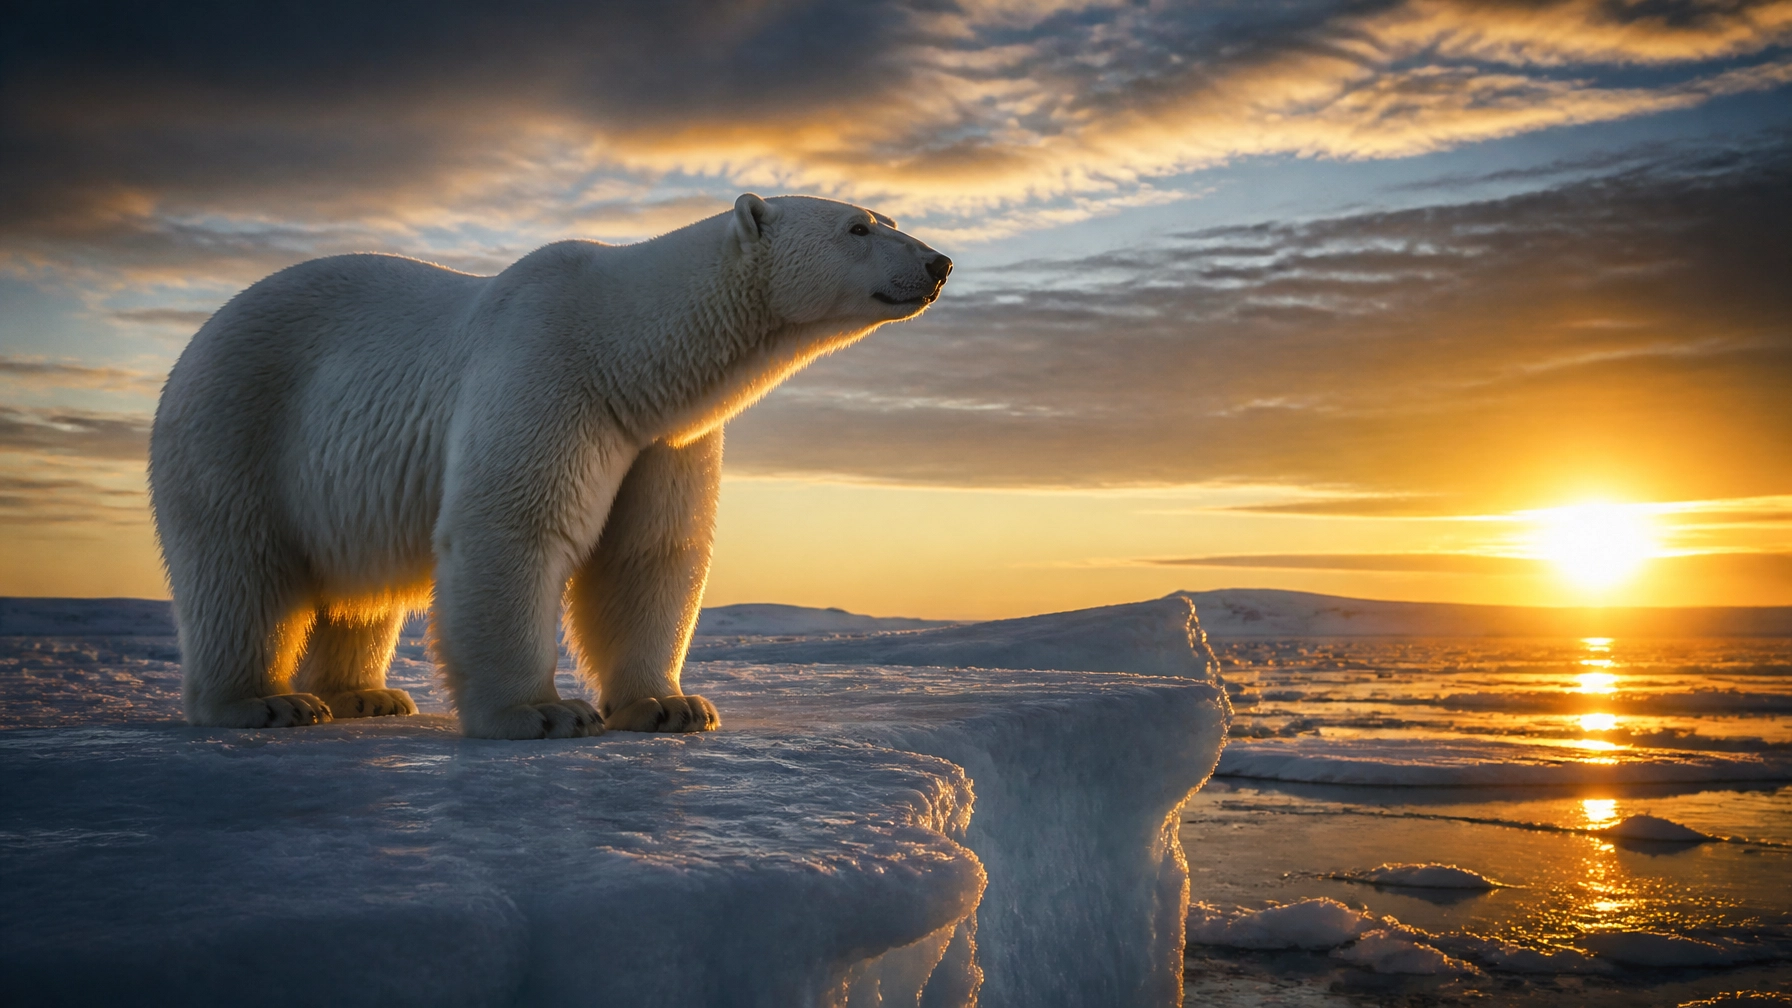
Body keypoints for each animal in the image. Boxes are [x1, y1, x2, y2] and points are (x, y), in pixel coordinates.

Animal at [149, 194, 951, 739]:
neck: (622, 349)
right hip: (240, 425)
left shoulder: (662, 439)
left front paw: (671, 705)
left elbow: (648, 553)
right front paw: (543, 712)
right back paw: (264, 700)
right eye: (858, 227)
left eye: (884, 215)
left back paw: (366, 694)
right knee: (239, 566)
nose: (939, 263)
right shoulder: (548, 374)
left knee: (361, 596)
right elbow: (515, 528)